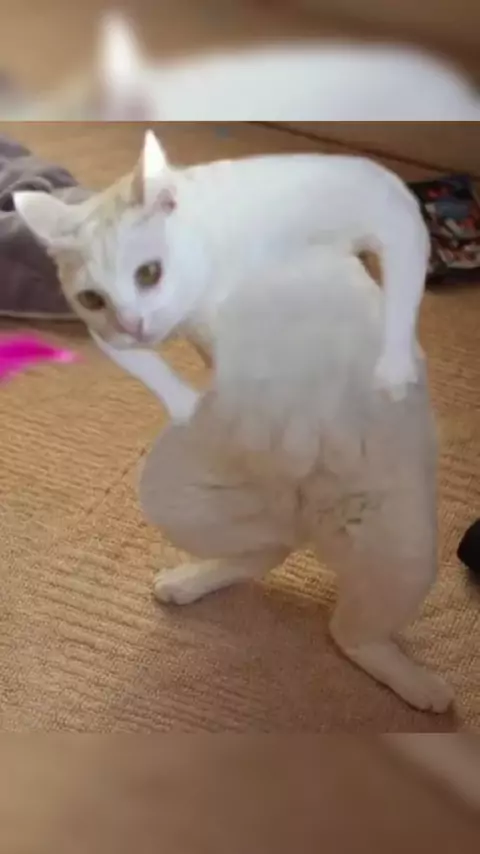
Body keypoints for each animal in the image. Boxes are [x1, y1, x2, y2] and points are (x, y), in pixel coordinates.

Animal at [14, 128, 430, 423]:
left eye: (149, 273)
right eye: (91, 299)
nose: (132, 324)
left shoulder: (394, 222)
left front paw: (392, 372)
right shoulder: (106, 335)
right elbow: (152, 369)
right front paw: (189, 408)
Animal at [137, 243, 453, 713]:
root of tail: (309, 520)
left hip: (404, 551)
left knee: (349, 633)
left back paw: (421, 687)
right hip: (173, 494)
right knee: (271, 550)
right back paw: (187, 580)